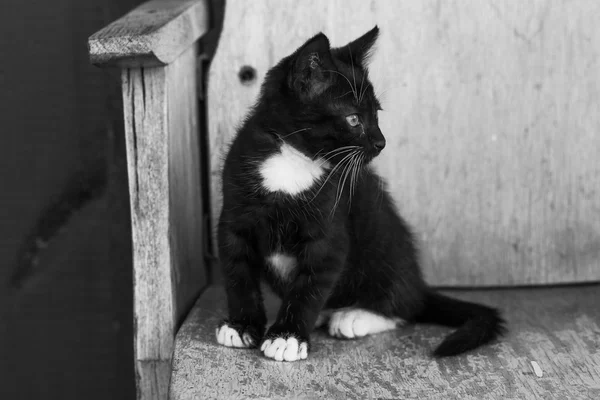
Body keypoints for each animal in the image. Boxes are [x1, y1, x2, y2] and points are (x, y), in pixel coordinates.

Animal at [216, 26, 506, 360]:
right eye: (354, 119)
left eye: (376, 114)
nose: (381, 142)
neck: (292, 160)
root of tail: (418, 283)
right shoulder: (234, 217)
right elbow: (238, 275)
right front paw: (241, 325)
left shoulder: (329, 233)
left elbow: (309, 287)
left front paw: (287, 336)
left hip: (384, 248)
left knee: (404, 307)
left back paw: (354, 316)